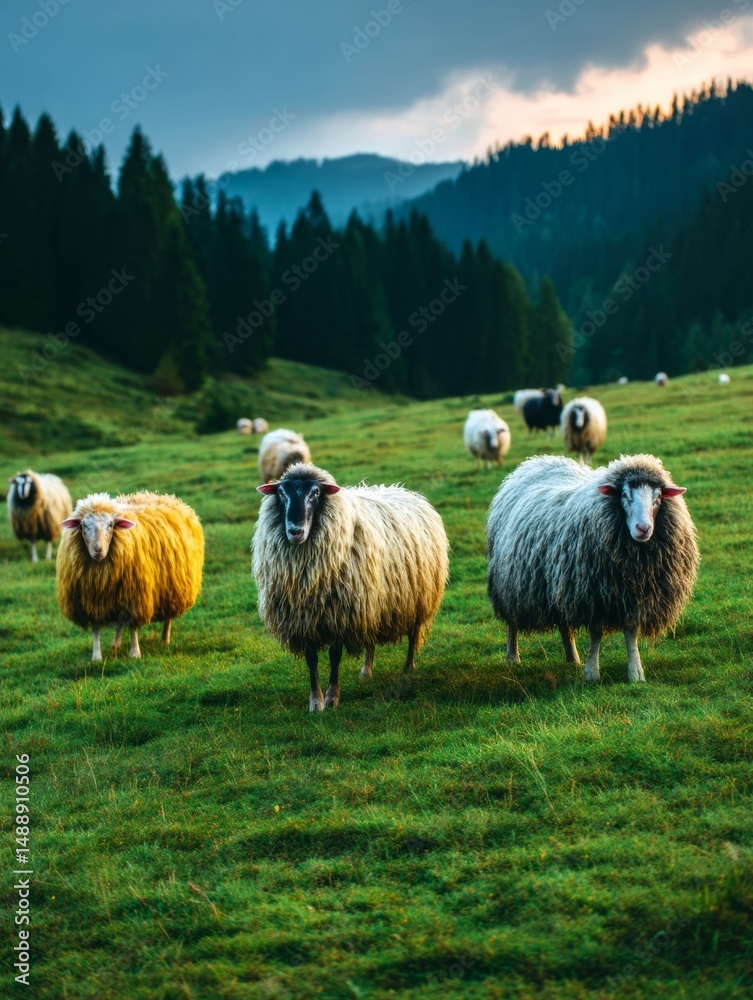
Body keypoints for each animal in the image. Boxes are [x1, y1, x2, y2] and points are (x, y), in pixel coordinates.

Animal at [57, 491, 204, 661]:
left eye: (111, 525)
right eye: (84, 526)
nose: (98, 550)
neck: (101, 574)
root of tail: (165, 497)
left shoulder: (135, 596)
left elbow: (133, 626)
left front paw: (134, 653)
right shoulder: (92, 601)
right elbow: (96, 628)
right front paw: (96, 656)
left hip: (173, 588)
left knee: (168, 617)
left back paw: (164, 640)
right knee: (119, 622)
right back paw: (116, 644)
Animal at [252, 462, 449, 711]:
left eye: (316, 493)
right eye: (281, 493)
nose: (296, 531)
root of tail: (406, 492)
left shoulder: (340, 614)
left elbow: (334, 655)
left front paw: (332, 697)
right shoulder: (304, 619)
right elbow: (311, 660)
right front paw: (316, 702)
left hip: (418, 597)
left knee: (413, 634)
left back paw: (408, 668)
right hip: (374, 602)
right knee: (371, 638)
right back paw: (366, 671)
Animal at [487, 453, 699, 683]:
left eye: (658, 496)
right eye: (624, 495)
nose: (643, 528)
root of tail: (534, 462)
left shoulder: (633, 597)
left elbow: (631, 634)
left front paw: (636, 673)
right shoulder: (593, 595)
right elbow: (596, 633)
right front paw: (592, 672)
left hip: (558, 584)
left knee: (564, 624)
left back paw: (572, 658)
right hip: (511, 581)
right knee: (512, 622)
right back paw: (513, 657)